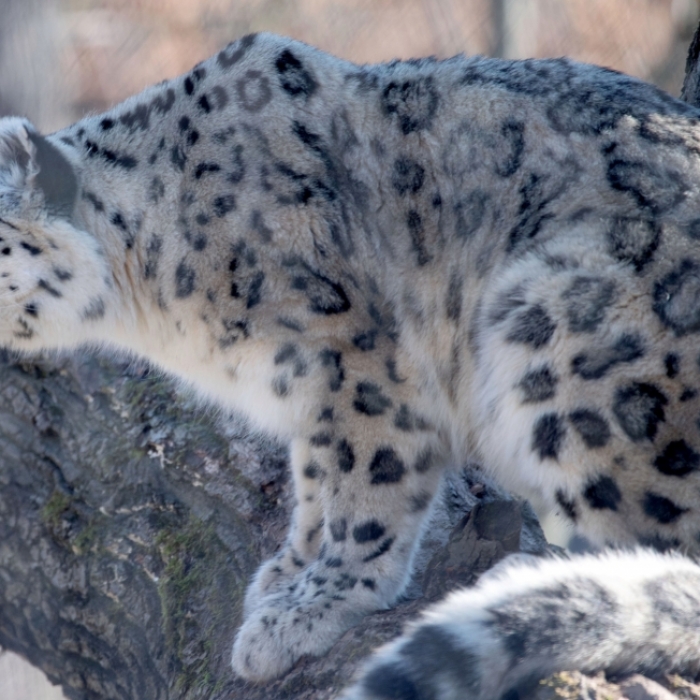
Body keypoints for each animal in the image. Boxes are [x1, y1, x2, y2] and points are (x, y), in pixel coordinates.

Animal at [2, 31, 700, 696]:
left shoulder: (362, 362)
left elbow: (366, 488)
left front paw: (312, 607)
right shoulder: (311, 393)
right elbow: (315, 476)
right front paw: (288, 572)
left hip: (557, 324)